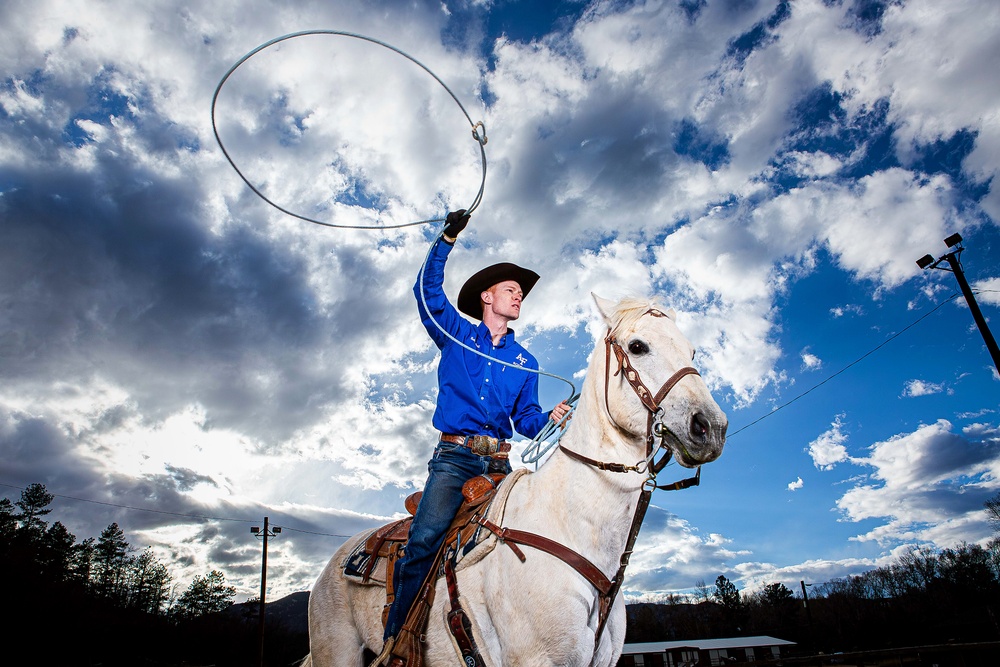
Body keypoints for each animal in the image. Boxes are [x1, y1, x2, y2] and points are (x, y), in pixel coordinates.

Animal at [304, 296, 728, 667]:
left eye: (691, 351)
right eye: (637, 347)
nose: (711, 427)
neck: (571, 525)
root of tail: (338, 559)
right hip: (337, 652)